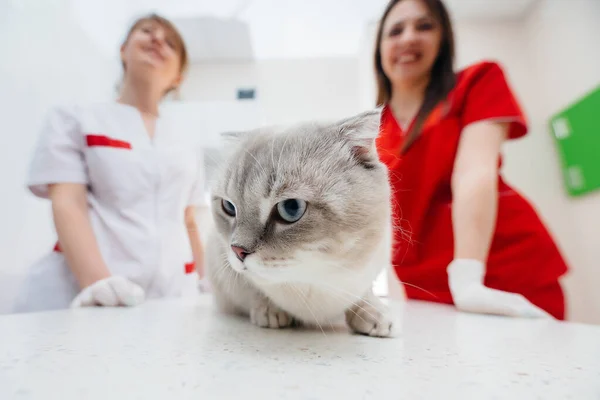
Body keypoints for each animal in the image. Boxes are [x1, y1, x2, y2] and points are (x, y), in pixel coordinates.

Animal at [205, 109, 398, 338]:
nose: (237, 251)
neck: (313, 279)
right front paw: (269, 310)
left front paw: (374, 314)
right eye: (229, 207)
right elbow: (255, 289)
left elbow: (363, 295)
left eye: (291, 208)